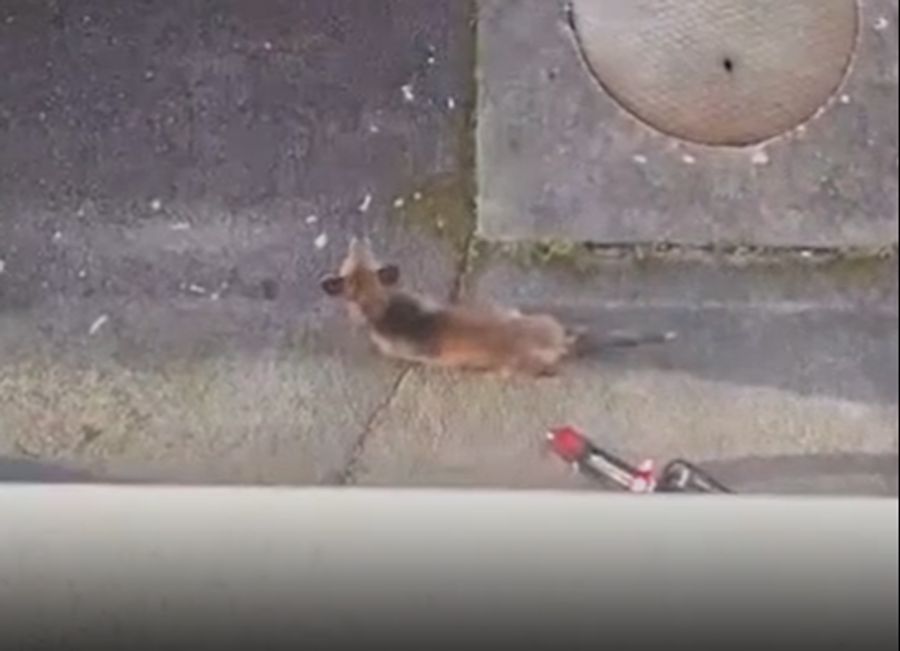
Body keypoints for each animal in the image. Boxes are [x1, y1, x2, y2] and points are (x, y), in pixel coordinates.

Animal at [321, 238, 675, 378]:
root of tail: (560, 342)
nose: (357, 239)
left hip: (518, 365)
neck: (384, 307)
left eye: (349, 260)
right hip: (522, 314)